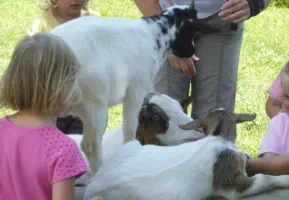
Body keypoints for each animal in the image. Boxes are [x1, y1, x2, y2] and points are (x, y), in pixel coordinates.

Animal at [49, 2, 217, 174]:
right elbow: (130, 128)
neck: (153, 34)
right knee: (90, 146)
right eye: (192, 27)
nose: (190, 52)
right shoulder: (136, 90)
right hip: (94, 106)